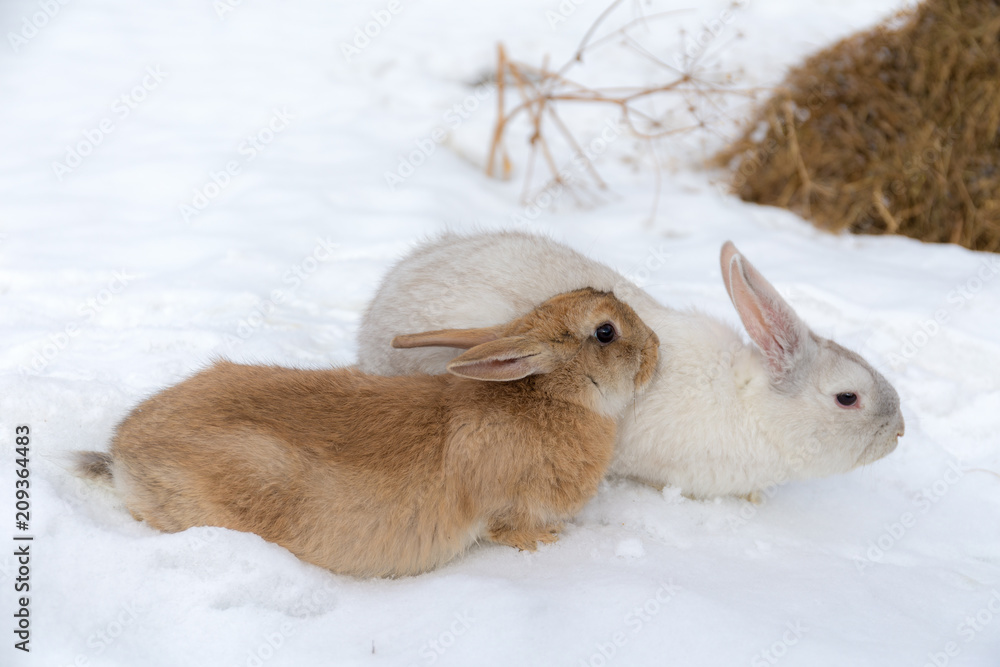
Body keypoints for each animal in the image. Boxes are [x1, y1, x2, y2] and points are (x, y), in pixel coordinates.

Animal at [74, 290, 660, 576]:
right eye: (605, 332)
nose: (657, 352)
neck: (550, 397)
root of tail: (122, 454)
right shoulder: (508, 507)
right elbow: (512, 529)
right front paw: (549, 542)